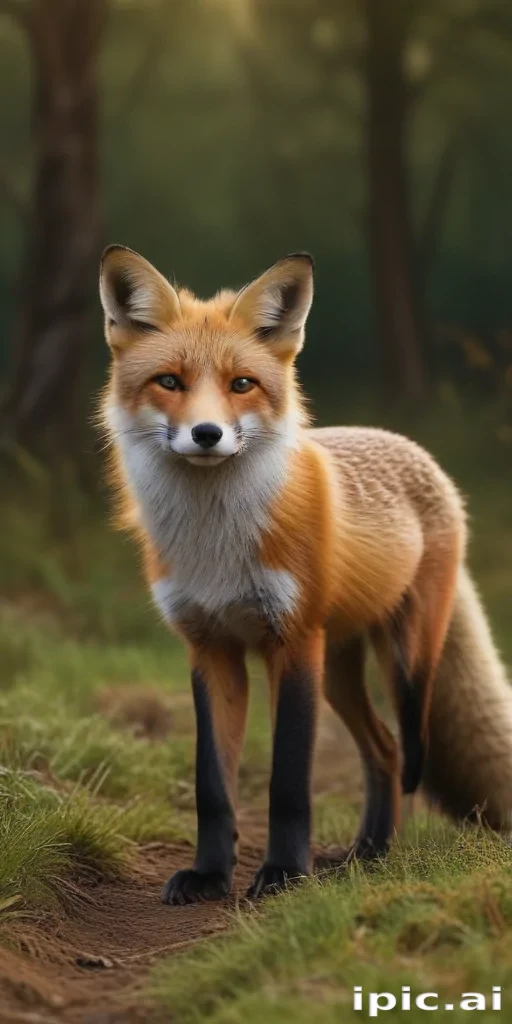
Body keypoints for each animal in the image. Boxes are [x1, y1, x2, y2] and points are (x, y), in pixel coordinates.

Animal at [99, 245, 512, 903]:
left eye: (242, 384)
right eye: (170, 382)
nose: (207, 434)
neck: (216, 543)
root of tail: (410, 445)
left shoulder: (292, 642)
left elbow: (288, 782)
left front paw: (285, 874)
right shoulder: (210, 648)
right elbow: (212, 785)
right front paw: (210, 875)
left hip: (402, 660)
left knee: (406, 750)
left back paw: (373, 856)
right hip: (339, 670)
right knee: (384, 752)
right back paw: (368, 855)